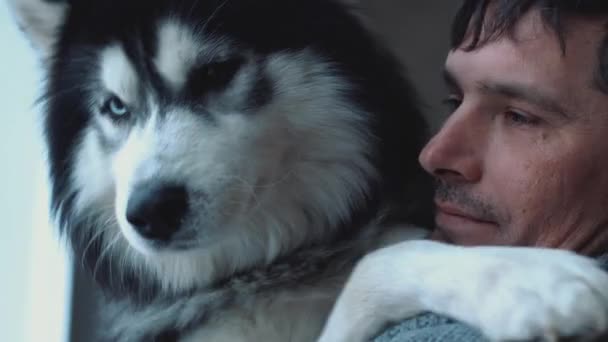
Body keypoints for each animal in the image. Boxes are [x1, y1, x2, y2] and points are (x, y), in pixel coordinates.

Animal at [10, 0, 608, 342]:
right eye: (115, 107)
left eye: (215, 72)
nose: (148, 212)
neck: (264, 268)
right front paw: (532, 281)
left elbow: (379, 261)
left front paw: (528, 278)